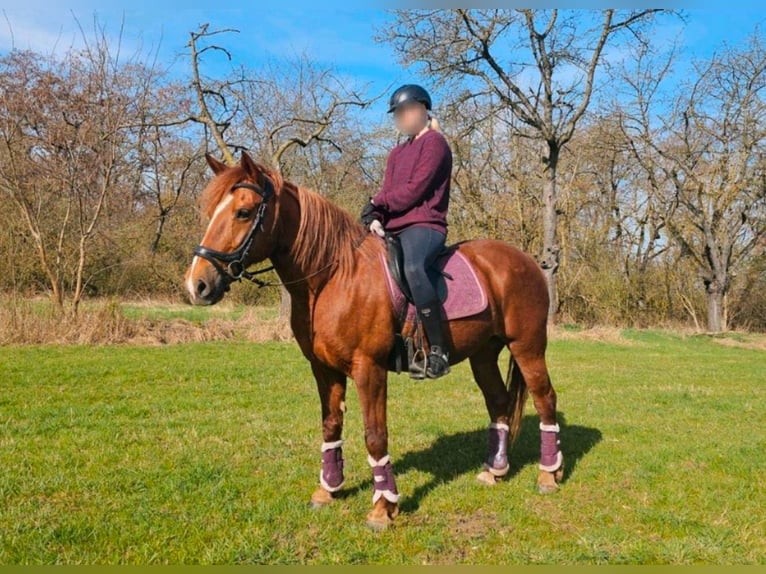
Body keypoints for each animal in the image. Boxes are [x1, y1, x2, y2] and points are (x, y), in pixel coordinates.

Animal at [184, 152, 564, 532]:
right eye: (211, 211)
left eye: (243, 212)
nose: (197, 285)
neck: (334, 277)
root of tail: (526, 261)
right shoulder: (323, 369)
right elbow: (331, 426)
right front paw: (328, 489)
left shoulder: (369, 369)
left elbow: (374, 434)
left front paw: (383, 507)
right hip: (483, 354)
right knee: (499, 401)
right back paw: (495, 470)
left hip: (528, 347)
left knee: (545, 397)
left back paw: (548, 475)